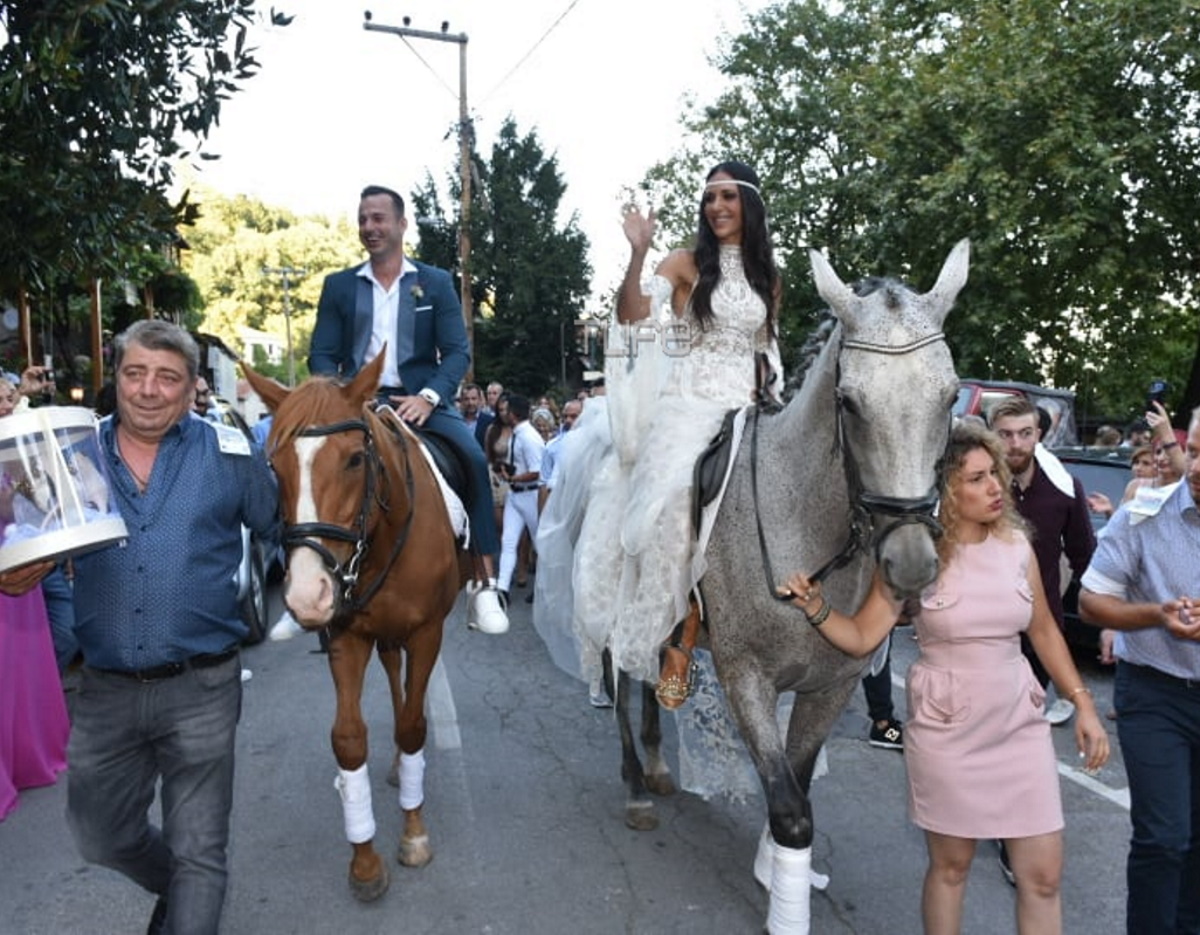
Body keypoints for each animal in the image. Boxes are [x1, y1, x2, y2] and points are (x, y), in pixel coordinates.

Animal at [246, 357, 465, 897]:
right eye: (274, 466)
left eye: (353, 461)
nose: (307, 595)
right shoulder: (347, 635)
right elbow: (348, 738)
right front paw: (364, 860)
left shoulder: (427, 632)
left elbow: (414, 724)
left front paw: (413, 835)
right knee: (392, 674)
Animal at [700, 240, 964, 926]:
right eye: (848, 402)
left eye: (952, 398)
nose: (911, 563)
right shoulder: (744, 677)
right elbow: (791, 810)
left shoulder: (832, 684)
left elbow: (796, 784)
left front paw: (773, 871)